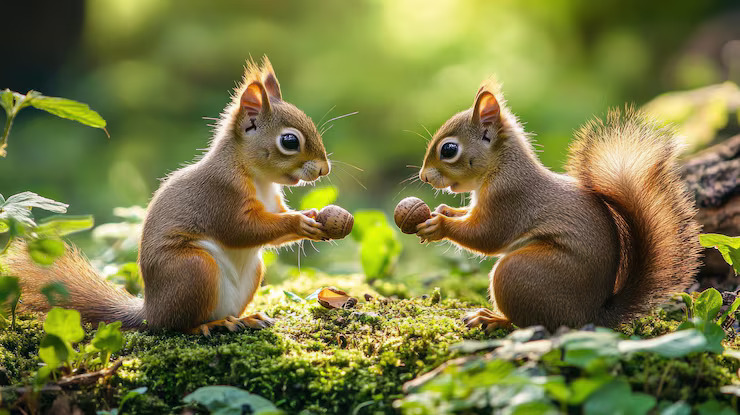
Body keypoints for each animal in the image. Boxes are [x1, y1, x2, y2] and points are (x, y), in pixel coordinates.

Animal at [5, 57, 338, 335]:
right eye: (290, 141)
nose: (325, 169)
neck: (258, 178)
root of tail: (150, 312)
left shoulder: (273, 203)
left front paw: (312, 217)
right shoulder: (220, 196)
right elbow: (241, 230)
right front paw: (299, 222)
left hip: (250, 272)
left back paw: (245, 318)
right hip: (193, 269)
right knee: (179, 325)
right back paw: (212, 325)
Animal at [415, 80, 701, 332]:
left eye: (449, 150)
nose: (423, 176)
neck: (501, 168)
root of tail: (591, 316)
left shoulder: (510, 200)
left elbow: (487, 237)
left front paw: (439, 225)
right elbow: (469, 217)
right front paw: (446, 211)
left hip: (519, 274)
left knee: (529, 323)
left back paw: (493, 319)